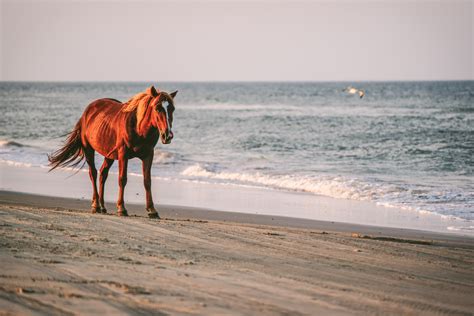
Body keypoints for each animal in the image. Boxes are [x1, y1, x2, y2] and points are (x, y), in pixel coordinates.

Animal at [48, 86, 178, 220]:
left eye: (172, 109)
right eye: (157, 108)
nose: (167, 135)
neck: (138, 128)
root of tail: (86, 113)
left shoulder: (148, 155)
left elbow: (147, 181)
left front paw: (152, 210)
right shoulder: (123, 154)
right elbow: (122, 179)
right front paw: (121, 208)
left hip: (109, 155)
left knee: (103, 174)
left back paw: (102, 206)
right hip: (89, 150)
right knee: (93, 173)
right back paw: (96, 205)